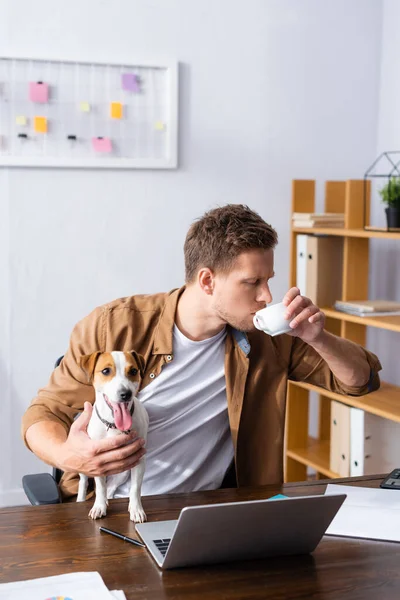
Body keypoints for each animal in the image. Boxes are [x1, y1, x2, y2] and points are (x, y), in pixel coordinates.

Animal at [76, 350, 148, 524]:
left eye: (133, 371)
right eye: (106, 371)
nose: (126, 394)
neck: (114, 425)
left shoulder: (139, 459)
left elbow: (135, 488)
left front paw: (136, 509)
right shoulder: (96, 460)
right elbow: (100, 487)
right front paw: (99, 507)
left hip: (122, 473)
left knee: (111, 488)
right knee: (84, 482)